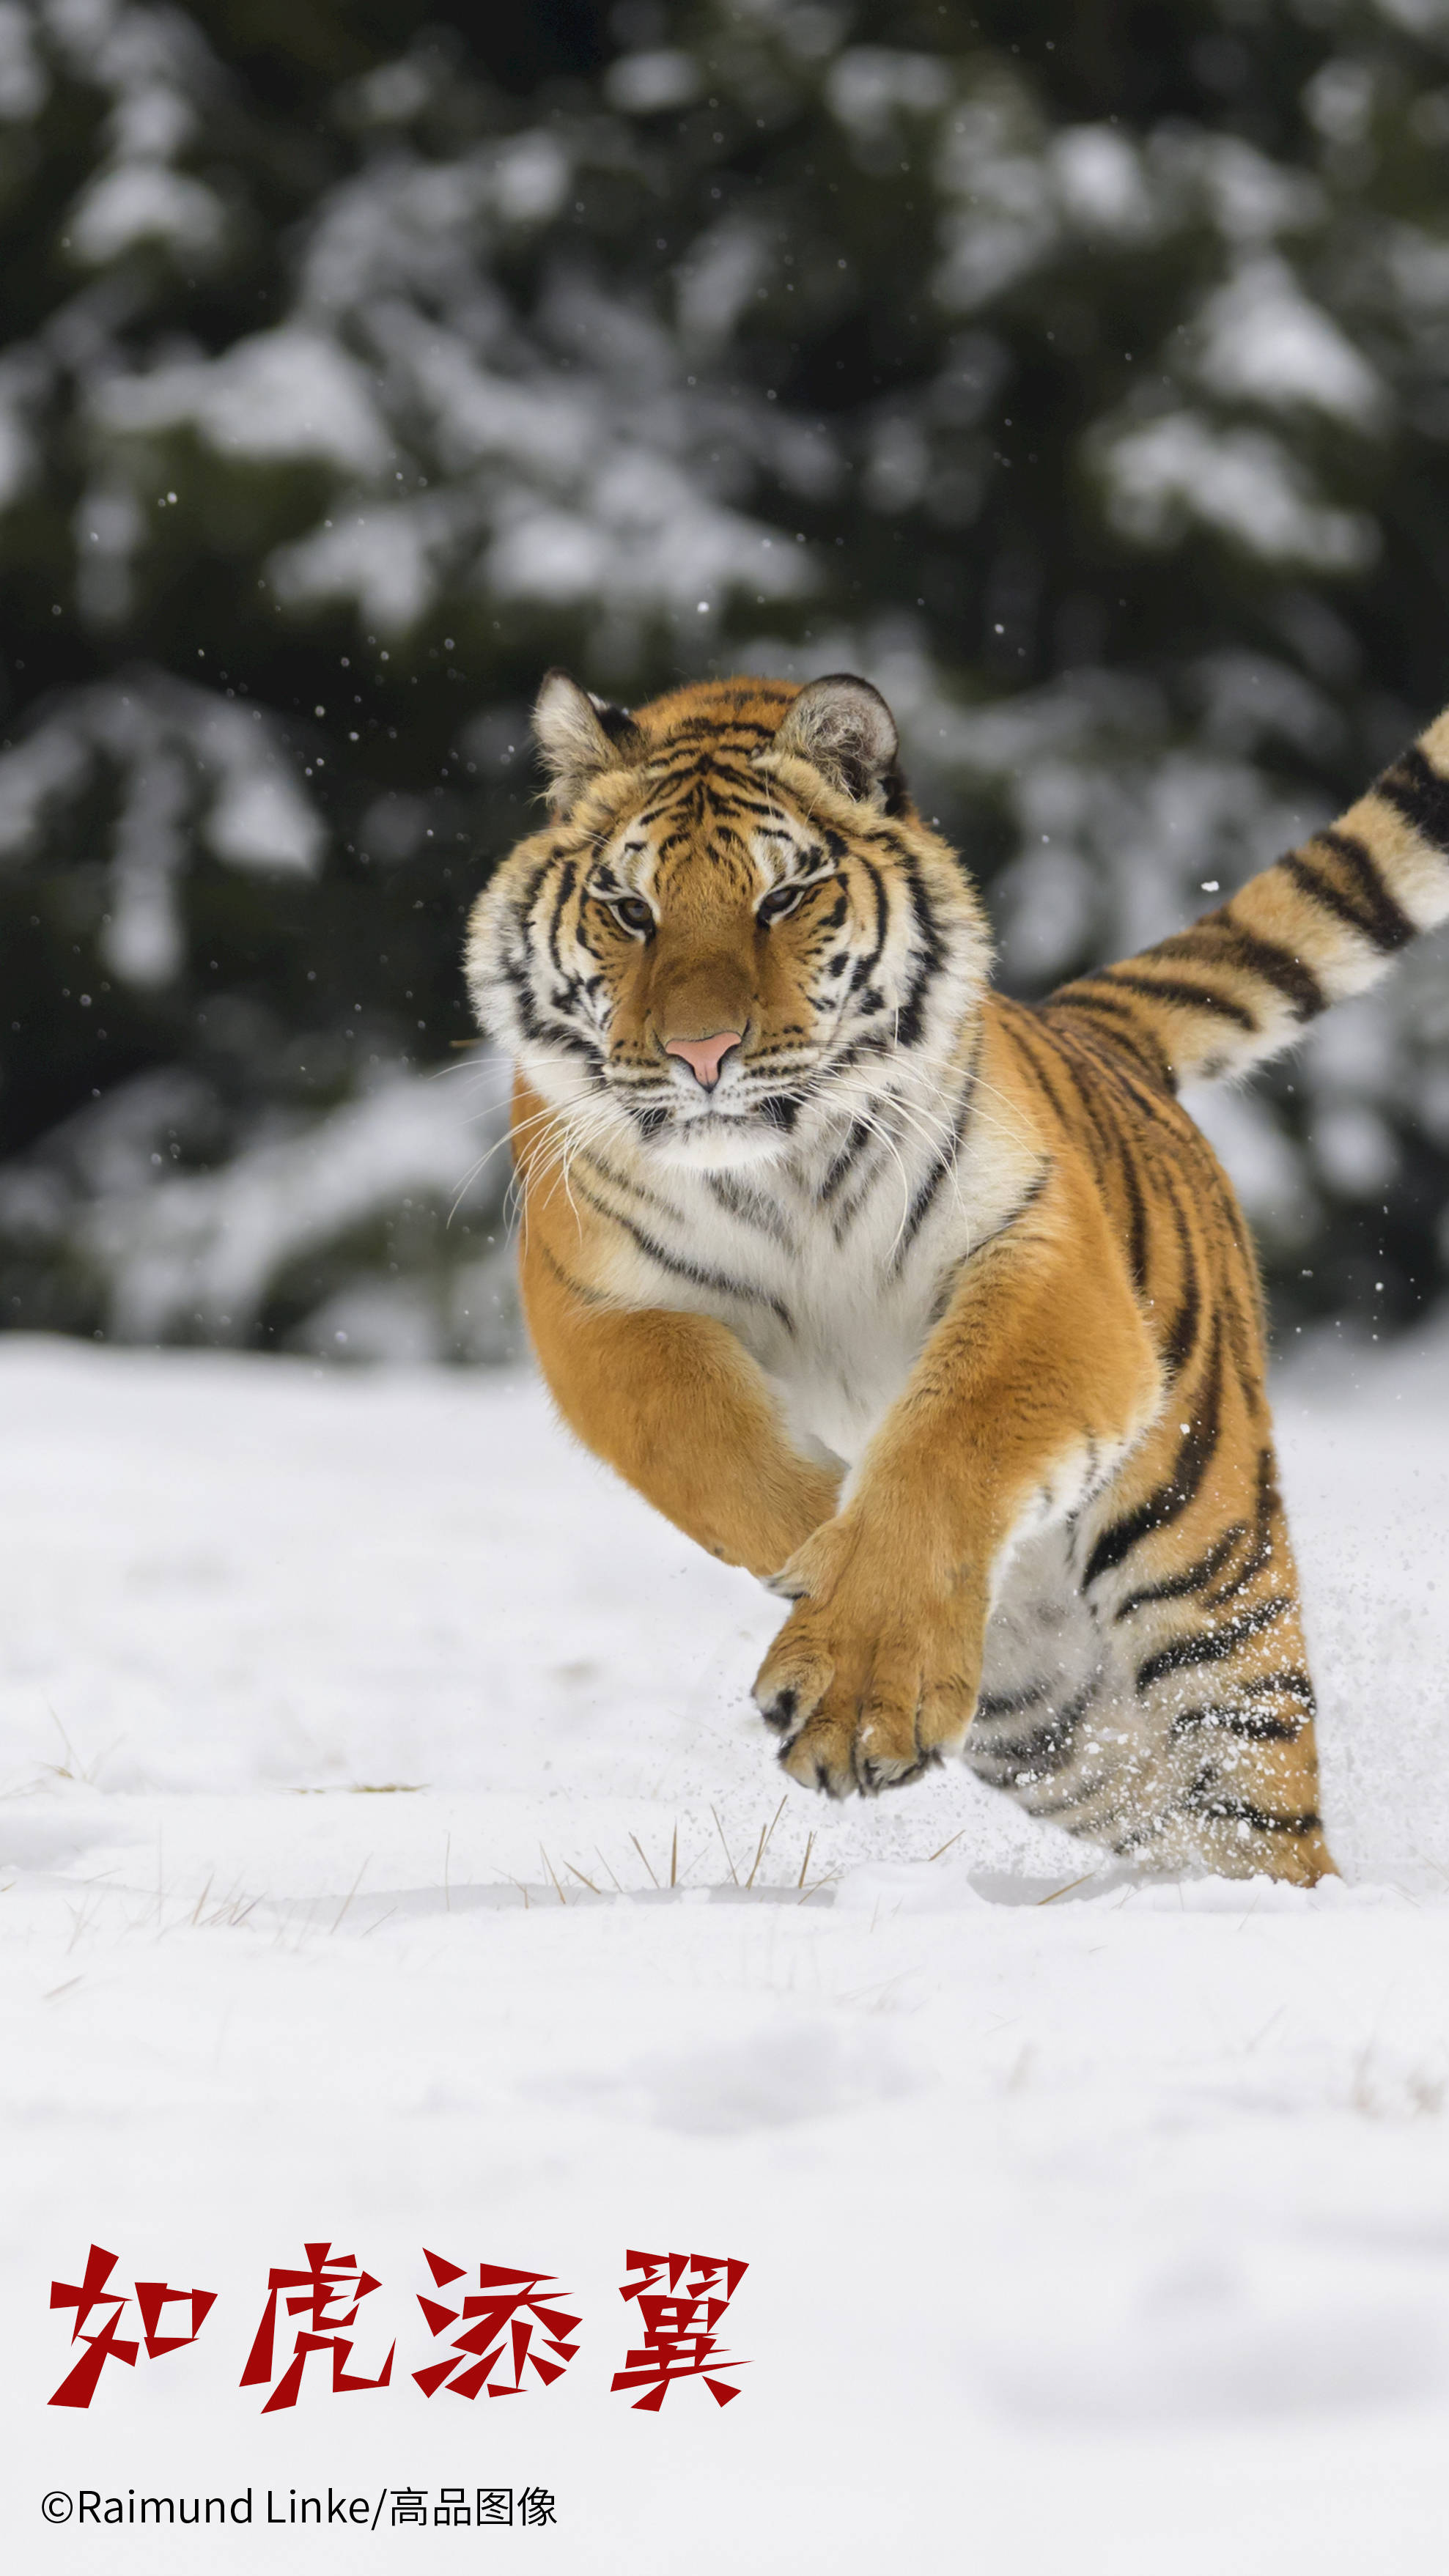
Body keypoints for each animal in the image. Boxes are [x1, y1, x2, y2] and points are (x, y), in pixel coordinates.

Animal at [461, 664, 1443, 1885]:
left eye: (783, 899)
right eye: (629, 909)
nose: (700, 1055)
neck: (782, 1171)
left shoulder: (1042, 1262)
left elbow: (945, 1441)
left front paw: (855, 1662)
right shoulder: (599, 1303)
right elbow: (716, 1446)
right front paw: (817, 1565)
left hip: (1201, 1559)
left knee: (1257, 1793)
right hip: (1051, 1718)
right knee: (1154, 1796)